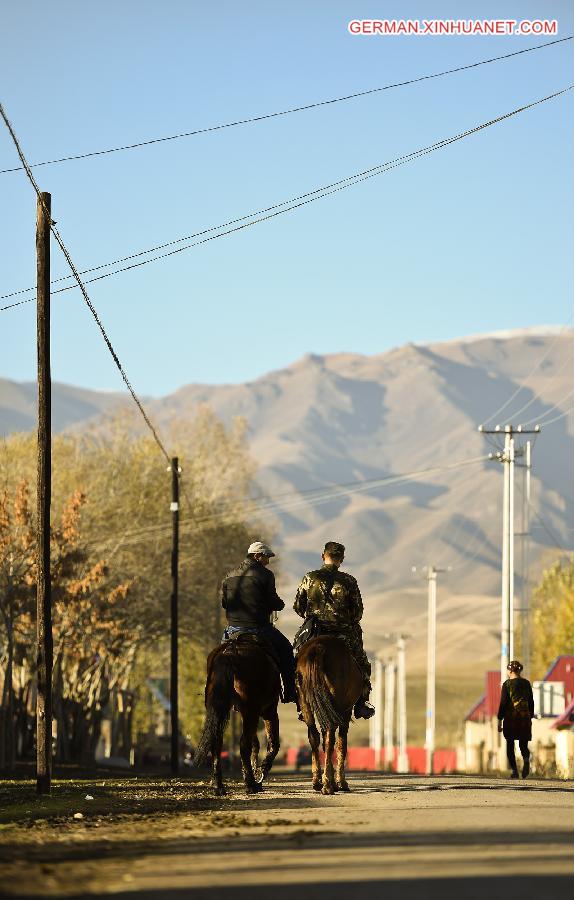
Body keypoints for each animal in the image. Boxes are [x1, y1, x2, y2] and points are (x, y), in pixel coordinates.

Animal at [195, 636, 282, 800]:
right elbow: (273, 744)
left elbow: (256, 744)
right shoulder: (268, 711)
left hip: (221, 709)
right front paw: (260, 774)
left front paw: (255, 772)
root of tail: (231, 651)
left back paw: (219, 786)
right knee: (243, 744)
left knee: (217, 743)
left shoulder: (246, 713)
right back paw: (250, 784)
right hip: (252, 710)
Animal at [296, 632, 364, 796]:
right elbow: (341, 744)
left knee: (314, 736)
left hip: (305, 700)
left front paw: (332, 781)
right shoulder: (345, 712)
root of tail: (318, 648)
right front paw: (340, 783)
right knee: (330, 740)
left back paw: (317, 782)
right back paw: (327, 785)